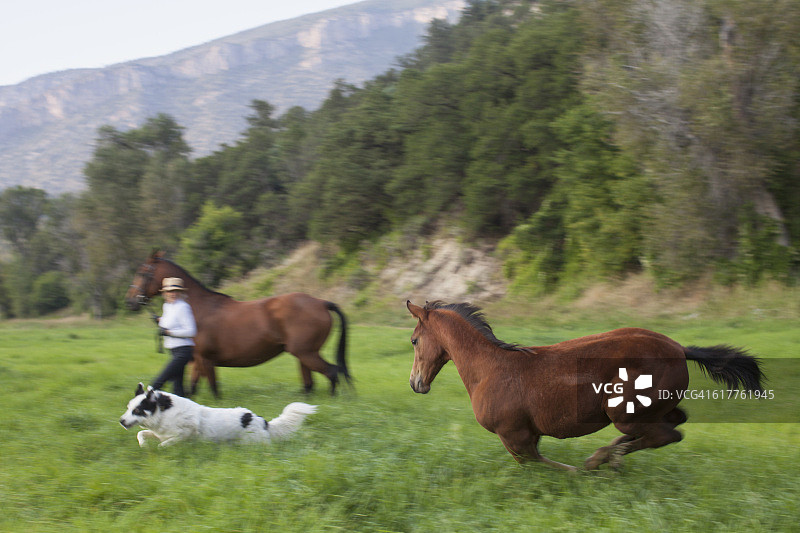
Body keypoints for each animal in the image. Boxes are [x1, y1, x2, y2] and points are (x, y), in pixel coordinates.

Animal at [120, 382, 318, 444]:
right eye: (128, 407)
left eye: (137, 410)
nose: (121, 421)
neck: (163, 411)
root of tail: (261, 420)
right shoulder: (159, 432)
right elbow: (141, 434)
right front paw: (144, 445)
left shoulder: (186, 433)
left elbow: (165, 444)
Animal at [126, 249, 348, 394]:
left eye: (141, 272)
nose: (130, 301)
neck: (197, 309)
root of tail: (321, 303)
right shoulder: (197, 361)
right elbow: (193, 389)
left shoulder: (205, 360)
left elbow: (213, 389)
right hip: (303, 355)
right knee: (311, 383)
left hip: (306, 353)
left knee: (332, 372)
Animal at [406, 300, 764, 470]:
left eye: (413, 340)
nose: (415, 383)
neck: (490, 369)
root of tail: (679, 348)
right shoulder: (525, 437)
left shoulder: (514, 436)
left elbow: (543, 466)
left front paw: (583, 472)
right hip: (652, 407)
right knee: (673, 423)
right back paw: (610, 457)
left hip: (623, 411)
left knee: (666, 435)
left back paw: (603, 459)